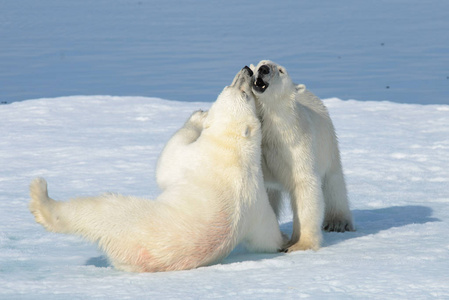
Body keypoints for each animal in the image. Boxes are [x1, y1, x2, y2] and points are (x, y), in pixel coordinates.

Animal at [28, 67, 284, 274]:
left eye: (242, 93)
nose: (247, 71)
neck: (236, 151)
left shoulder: (197, 158)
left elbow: (168, 161)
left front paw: (198, 117)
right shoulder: (257, 202)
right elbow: (266, 236)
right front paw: (282, 243)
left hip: (127, 219)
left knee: (93, 209)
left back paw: (41, 194)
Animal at [250, 59, 352, 252]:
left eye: (281, 70)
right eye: (259, 63)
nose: (264, 69)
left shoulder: (295, 145)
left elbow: (304, 185)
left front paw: (299, 244)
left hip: (328, 145)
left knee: (333, 183)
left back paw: (338, 222)